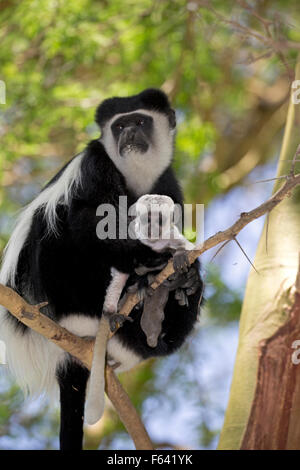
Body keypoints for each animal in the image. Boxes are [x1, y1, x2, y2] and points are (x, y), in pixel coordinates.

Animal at [84, 195, 193, 426]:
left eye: (159, 219)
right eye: (147, 218)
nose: (151, 228)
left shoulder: (171, 235)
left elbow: (187, 248)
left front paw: (179, 260)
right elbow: (123, 267)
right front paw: (143, 275)